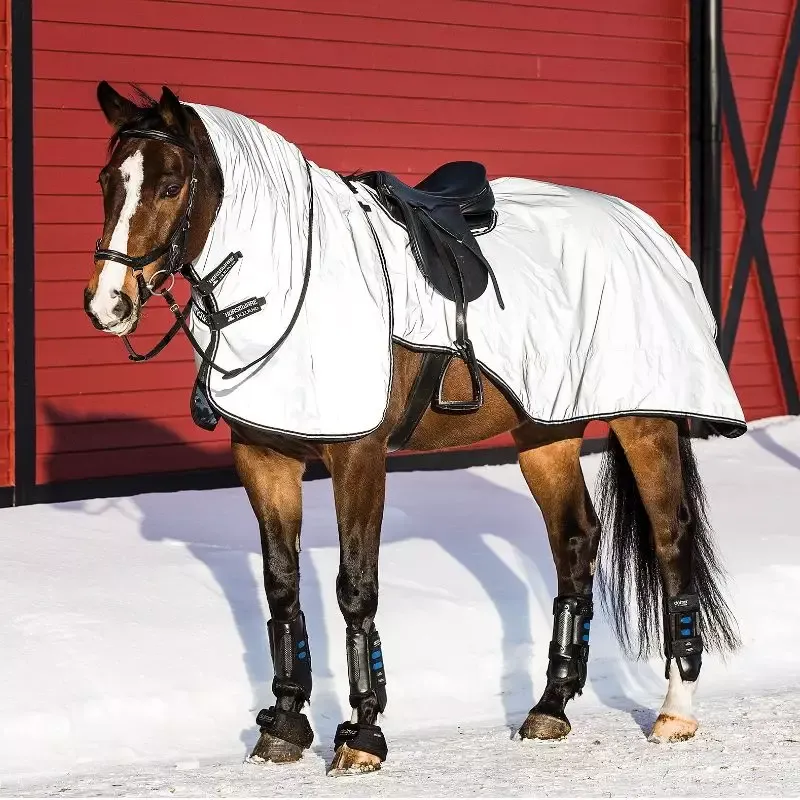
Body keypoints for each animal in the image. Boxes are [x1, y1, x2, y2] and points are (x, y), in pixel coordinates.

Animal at [83, 82, 743, 775]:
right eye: (106, 180)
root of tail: (648, 230)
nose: (108, 304)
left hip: (644, 419)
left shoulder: (357, 455)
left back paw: (675, 712)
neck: (296, 280)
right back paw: (550, 708)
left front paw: (363, 736)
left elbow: (356, 589)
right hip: (546, 431)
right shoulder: (264, 457)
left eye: (171, 185)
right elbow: (282, 591)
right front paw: (284, 726)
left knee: (671, 539)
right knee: (574, 541)